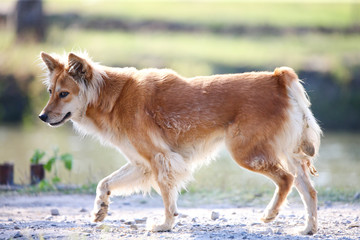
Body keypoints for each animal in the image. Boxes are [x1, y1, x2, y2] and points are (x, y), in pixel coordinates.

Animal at [38, 51, 320, 234]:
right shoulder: (142, 164)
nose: (41, 116)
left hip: (247, 153)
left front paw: (165, 225)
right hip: (289, 155)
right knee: (309, 190)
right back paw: (308, 228)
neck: (114, 99)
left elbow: (167, 196)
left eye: (64, 94)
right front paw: (101, 208)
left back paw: (271, 214)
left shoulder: (160, 159)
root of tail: (278, 78)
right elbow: (104, 183)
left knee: (285, 179)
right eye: (50, 92)